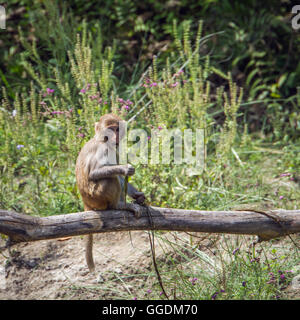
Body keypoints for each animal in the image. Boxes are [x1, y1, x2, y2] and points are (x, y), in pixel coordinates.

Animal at [75, 113, 145, 272]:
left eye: (117, 129)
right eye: (110, 129)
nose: (114, 137)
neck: (102, 140)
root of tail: (86, 201)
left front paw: (138, 195)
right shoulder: (103, 149)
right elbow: (94, 173)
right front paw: (125, 168)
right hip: (97, 196)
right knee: (110, 178)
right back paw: (118, 206)